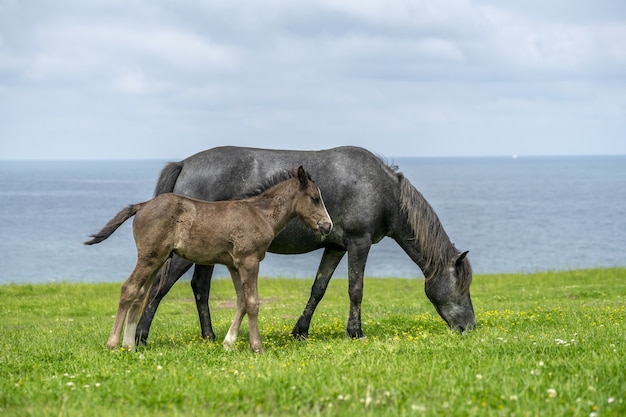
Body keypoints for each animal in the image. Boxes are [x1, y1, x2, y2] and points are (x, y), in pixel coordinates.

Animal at [86, 164, 336, 352]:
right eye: (315, 198)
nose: (327, 225)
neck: (260, 214)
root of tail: (142, 205)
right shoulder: (249, 261)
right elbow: (252, 302)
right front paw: (256, 347)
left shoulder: (234, 265)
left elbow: (241, 301)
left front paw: (228, 343)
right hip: (150, 257)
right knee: (128, 289)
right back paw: (113, 343)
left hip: (157, 260)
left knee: (139, 295)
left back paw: (129, 345)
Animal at [135, 145, 472, 342]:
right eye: (463, 286)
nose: (469, 327)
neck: (383, 189)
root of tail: (183, 164)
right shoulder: (359, 243)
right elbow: (356, 289)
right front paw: (356, 332)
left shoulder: (336, 247)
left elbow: (318, 288)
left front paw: (300, 330)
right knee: (159, 287)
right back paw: (140, 336)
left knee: (199, 288)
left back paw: (209, 336)